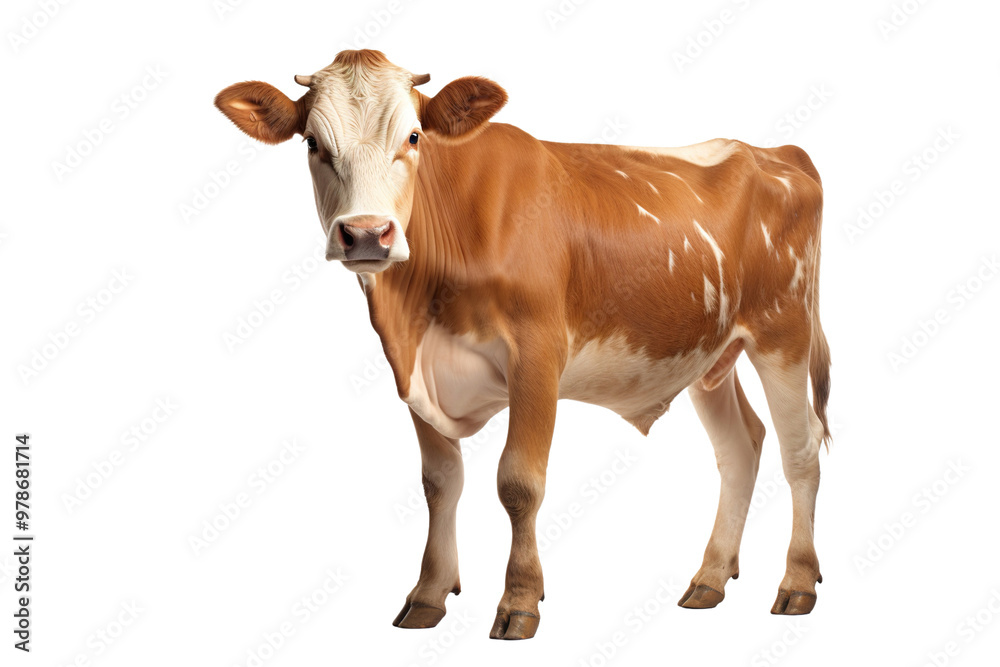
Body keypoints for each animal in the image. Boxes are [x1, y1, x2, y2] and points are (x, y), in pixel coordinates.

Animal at [215, 49, 831, 640]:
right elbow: (440, 483)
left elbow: (519, 483)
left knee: (799, 449)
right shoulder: (414, 368)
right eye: (313, 143)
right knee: (740, 447)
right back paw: (710, 578)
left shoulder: (536, 355)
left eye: (413, 137)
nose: (367, 233)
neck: (419, 306)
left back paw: (797, 582)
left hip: (784, 330)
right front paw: (428, 595)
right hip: (709, 351)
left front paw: (519, 601)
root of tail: (776, 152)